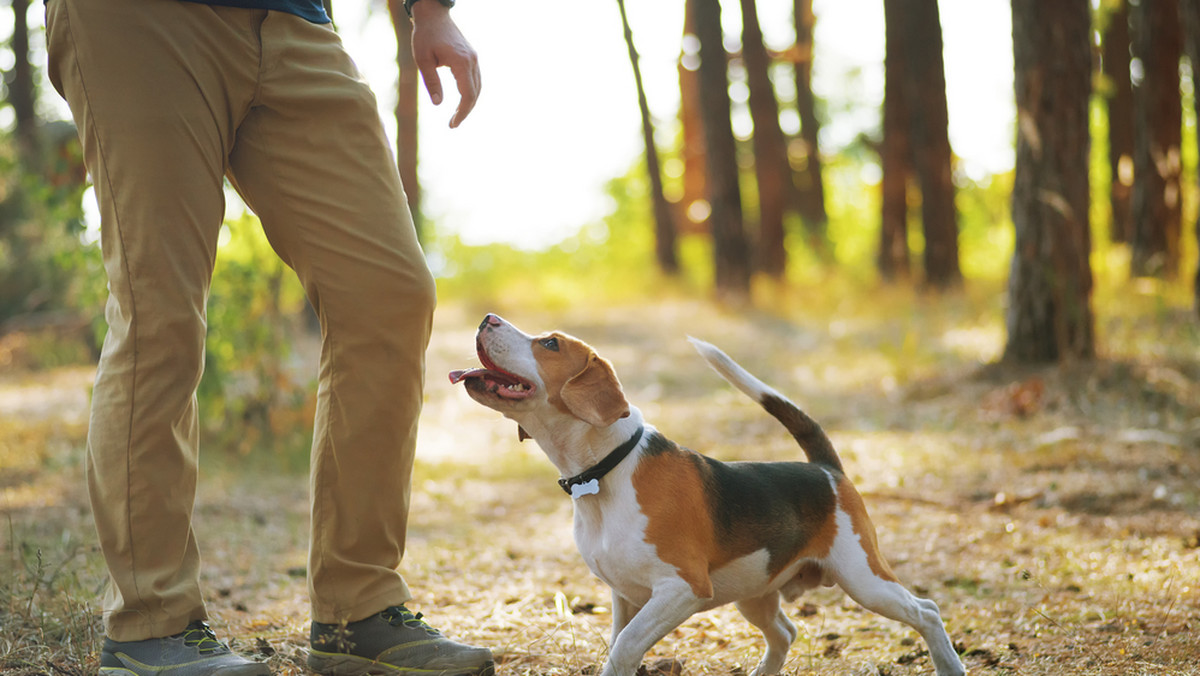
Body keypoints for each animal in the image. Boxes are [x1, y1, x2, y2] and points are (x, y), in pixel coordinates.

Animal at [451, 316, 964, 676]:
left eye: (550, 344)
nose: (487, 319)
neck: (605, 471)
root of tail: (825, 469)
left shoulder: (683, 587)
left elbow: (625, 647)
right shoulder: (624, 595)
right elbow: (620, 641)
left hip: (864, 578)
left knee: (927, 611)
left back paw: (950, 664)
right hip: (754, 591)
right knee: (785, 632)